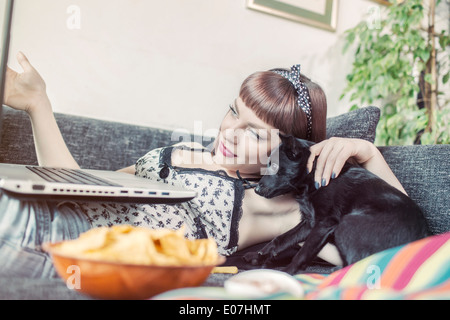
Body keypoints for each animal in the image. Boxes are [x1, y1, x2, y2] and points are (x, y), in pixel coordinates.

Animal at [244, 134, 430, 274]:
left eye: (275, 166)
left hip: (346, 224)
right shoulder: (309, 223)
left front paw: (286, 272)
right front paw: (258, 255)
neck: (310, 180)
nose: (256, 189)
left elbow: (303, 252)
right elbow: (282, 239)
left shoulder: (324, 223)